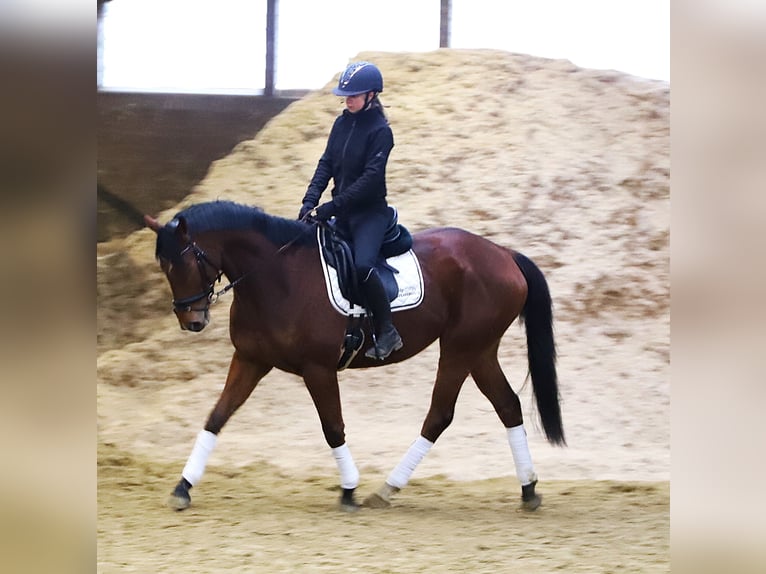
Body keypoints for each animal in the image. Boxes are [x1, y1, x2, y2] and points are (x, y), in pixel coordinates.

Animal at [143, 200, 564, 512]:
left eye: (186, 262)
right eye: (164, 266)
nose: (192, 321)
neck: (276, 277)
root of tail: (504, 254)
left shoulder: (318, 369)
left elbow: (332, 427)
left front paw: (348, 490)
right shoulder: (250, 360)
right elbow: (216, 417)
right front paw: (183, 487)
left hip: (461, 348)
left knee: (440, 415)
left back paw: (387, 488)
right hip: (480, 350)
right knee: (507, 405)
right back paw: (528, 489)